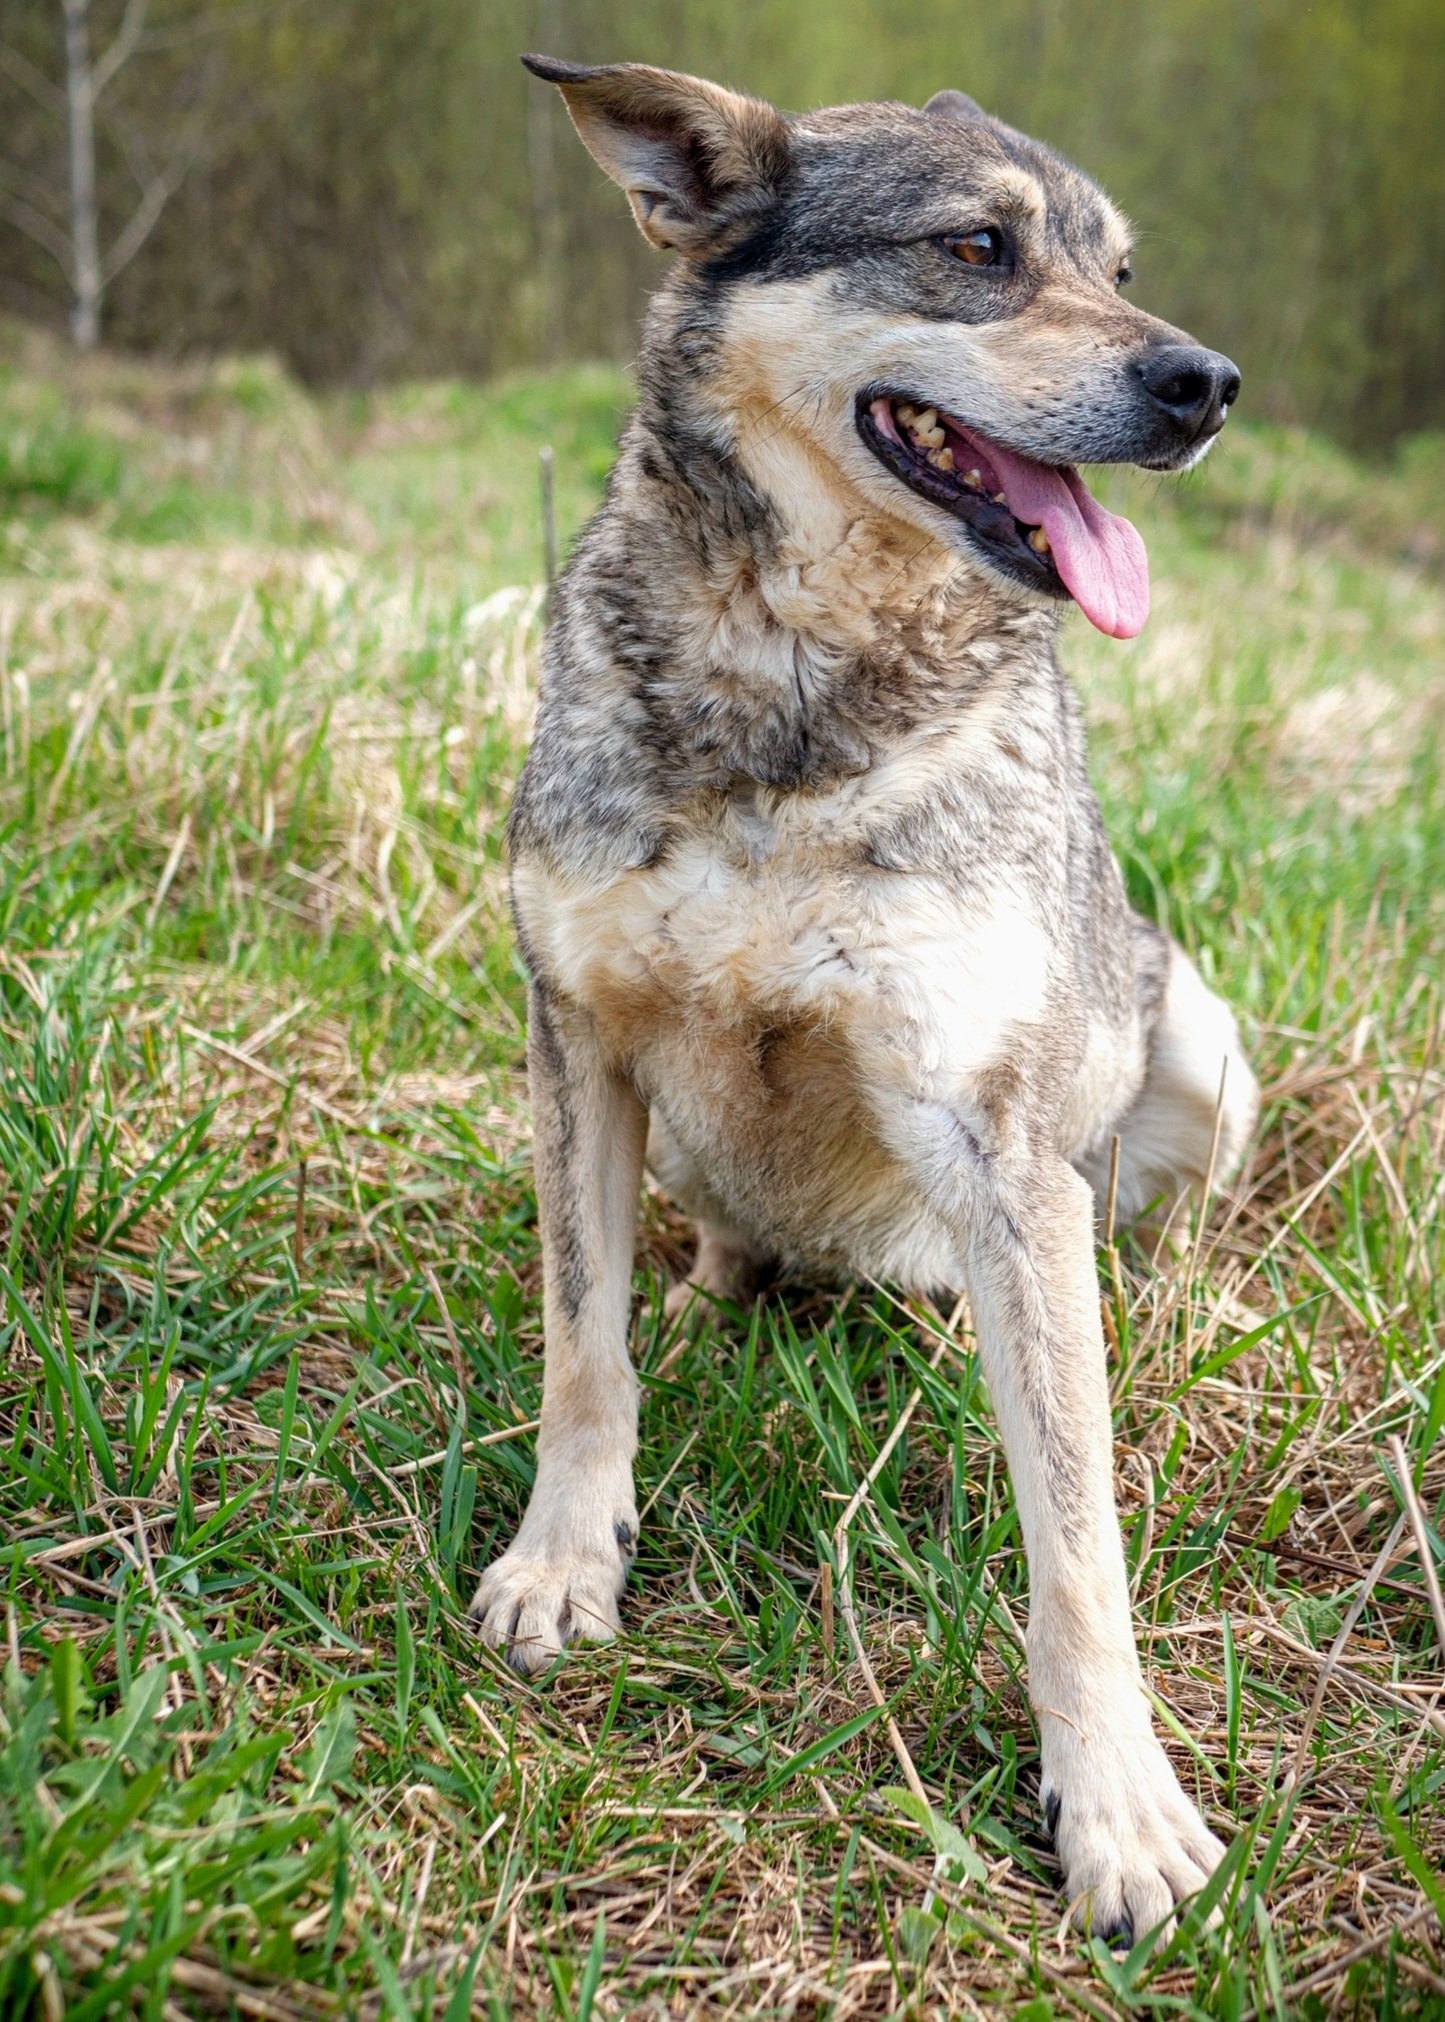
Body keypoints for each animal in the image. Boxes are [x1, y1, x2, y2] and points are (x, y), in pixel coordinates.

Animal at [472, 51, 1253, 1941]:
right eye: (976, 246)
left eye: (1120, 269)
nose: (1206, 384)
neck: (797, 675)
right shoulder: (575, 1036)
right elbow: (581, 1350)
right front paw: (563, 1559)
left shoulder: (992, 1131)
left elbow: (1078, 1544)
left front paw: (1116, 1806)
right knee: (703, 1256)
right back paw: (712, 1295)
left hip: (1191, 1042)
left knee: (1132, 1232)